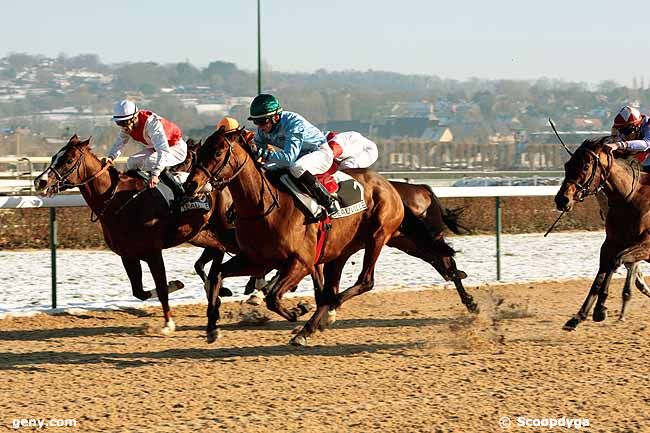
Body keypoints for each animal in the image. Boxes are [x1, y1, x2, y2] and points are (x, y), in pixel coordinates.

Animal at [33, 137, 235, 332]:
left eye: (68, 160)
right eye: (54, 157)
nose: (40, 181)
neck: (118, 200)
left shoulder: (153, 252)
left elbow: (161, 287)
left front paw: (168, 324)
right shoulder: (128, 255)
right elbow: (139, 292)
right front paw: (176, 284)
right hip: (199, 234)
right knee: (217, 251)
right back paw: (217, 292)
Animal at [185, 125, 402, 344]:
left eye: (218, 152)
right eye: (200, 152)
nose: (190, 185)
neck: (265, 207)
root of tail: (387, 184)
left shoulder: (301, 262)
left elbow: (273, 298)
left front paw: (298, 310)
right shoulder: (256, 260)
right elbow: (218, 274)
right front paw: (212, 326)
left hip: (377, 236)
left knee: (362, 282)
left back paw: (319, 318)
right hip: (340, 250)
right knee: (329, 290)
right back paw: (311, 325)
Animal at [556, 137, 650, 330]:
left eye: (585, 167)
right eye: (567, 164)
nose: (562, 199)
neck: (629, 199)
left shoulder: (646, 245)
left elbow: (616, 261)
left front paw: (600, 309)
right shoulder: (610, 243)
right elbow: (599, 276)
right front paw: (578, 316)